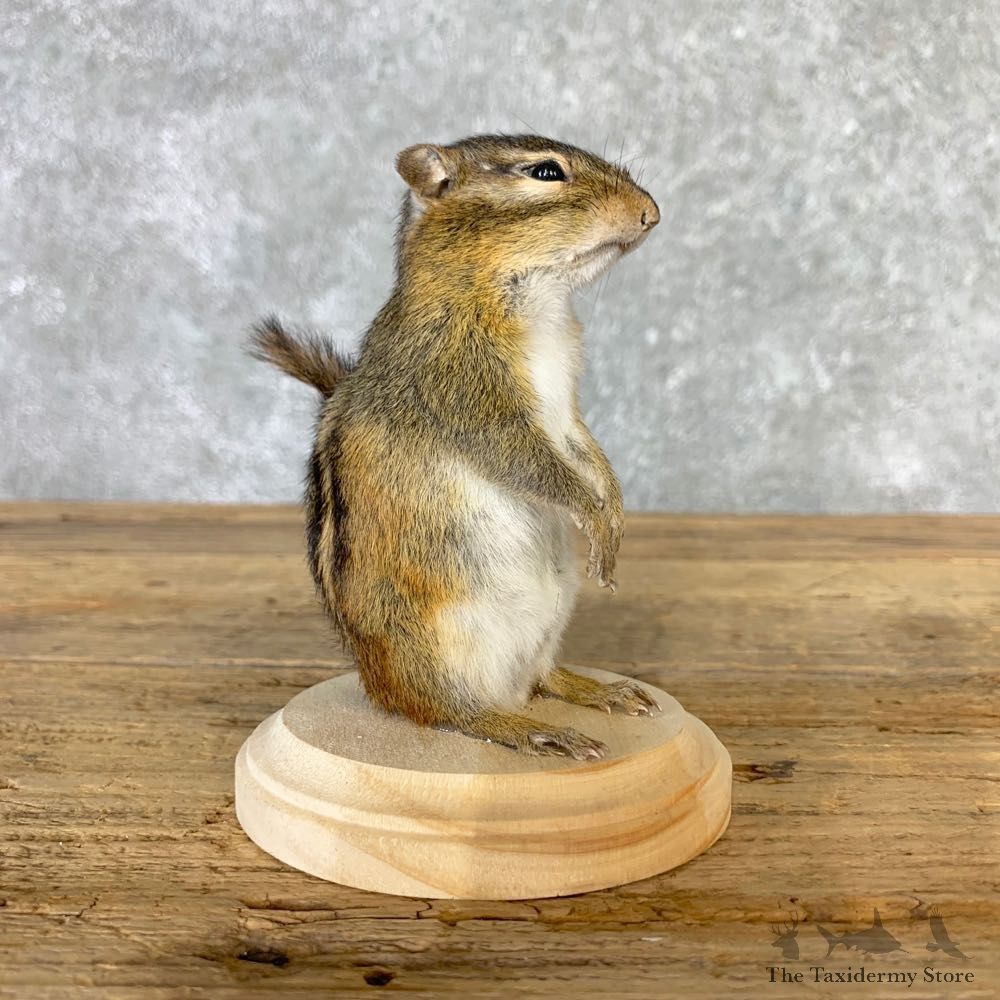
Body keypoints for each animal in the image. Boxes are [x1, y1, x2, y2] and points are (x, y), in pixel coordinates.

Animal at [251, 134, 660, 760]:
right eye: (546, 172)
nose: (650, 213)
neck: (539, 302)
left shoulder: (565, 407)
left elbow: (585, 449)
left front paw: (612, 511)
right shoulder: (467, 394)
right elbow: (527, 461)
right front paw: (593, 513)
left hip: (552, 613)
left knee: (541, 677)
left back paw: (594, 691)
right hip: (433, 646)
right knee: (449, 711)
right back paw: (527, 728)